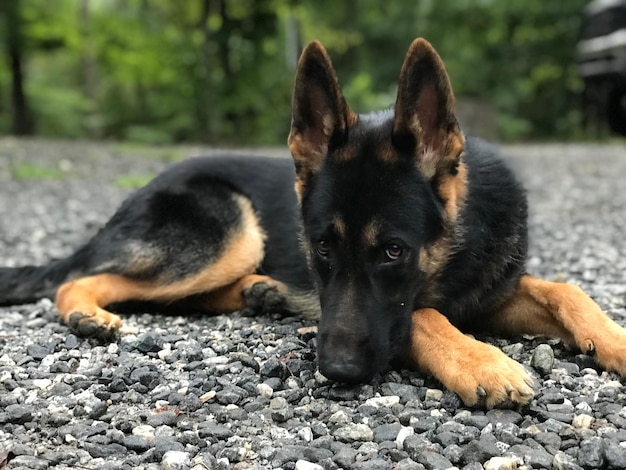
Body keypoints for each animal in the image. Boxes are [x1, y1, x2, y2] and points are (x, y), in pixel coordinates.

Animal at [1, 39, 624, 408]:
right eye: (321, 246)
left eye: (394, 251)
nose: (338, 371)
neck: (456, 251)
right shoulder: (406, 314)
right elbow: (423, 315)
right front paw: (481, 360)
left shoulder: (491, 295)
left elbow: (566, 290)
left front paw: (614, 340)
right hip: (232, 231)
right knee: (81, 277)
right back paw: (86, 314)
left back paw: (263, 292)